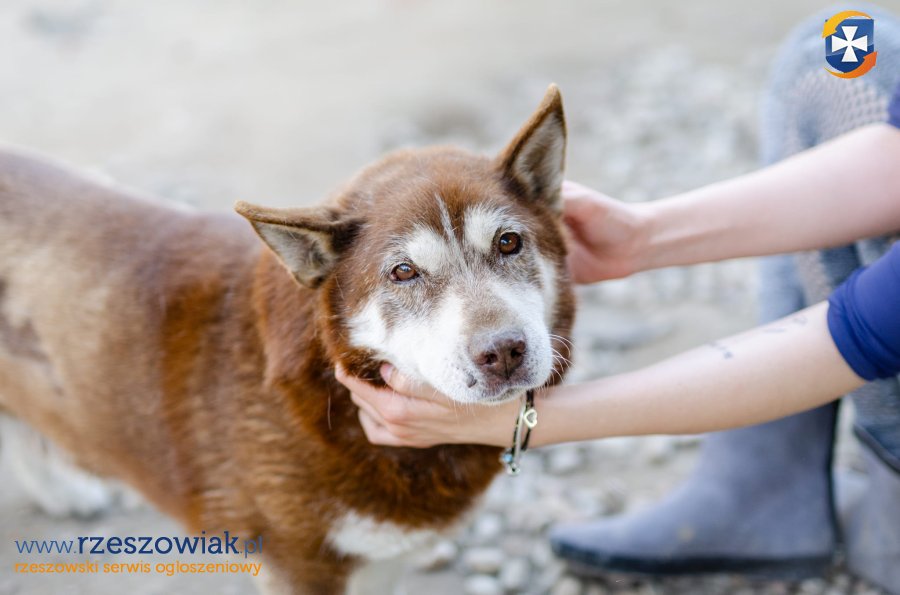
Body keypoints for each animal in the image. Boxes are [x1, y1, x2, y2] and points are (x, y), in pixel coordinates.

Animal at [0, 85, 575, 594]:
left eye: (509, 242)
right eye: (404, 272)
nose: (503, 351)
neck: (335, 387)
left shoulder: (379, 559)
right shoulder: (297, 565)